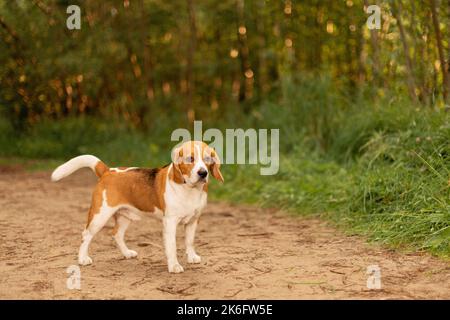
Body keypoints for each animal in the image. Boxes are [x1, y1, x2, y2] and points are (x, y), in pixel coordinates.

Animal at [51, 141, 224, 274]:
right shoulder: (170, 223)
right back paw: (82, 259)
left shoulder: (193, 221)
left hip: (124, 216)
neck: (190, 190)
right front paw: (174, 266)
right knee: (86, 235)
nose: (203, 173)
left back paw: (127, 253)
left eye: (207, 159)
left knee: (116, 234)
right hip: (99, 216)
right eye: (190, 159)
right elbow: (172, 247)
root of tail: (108, 171)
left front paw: (191, 256)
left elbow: (189, 241)